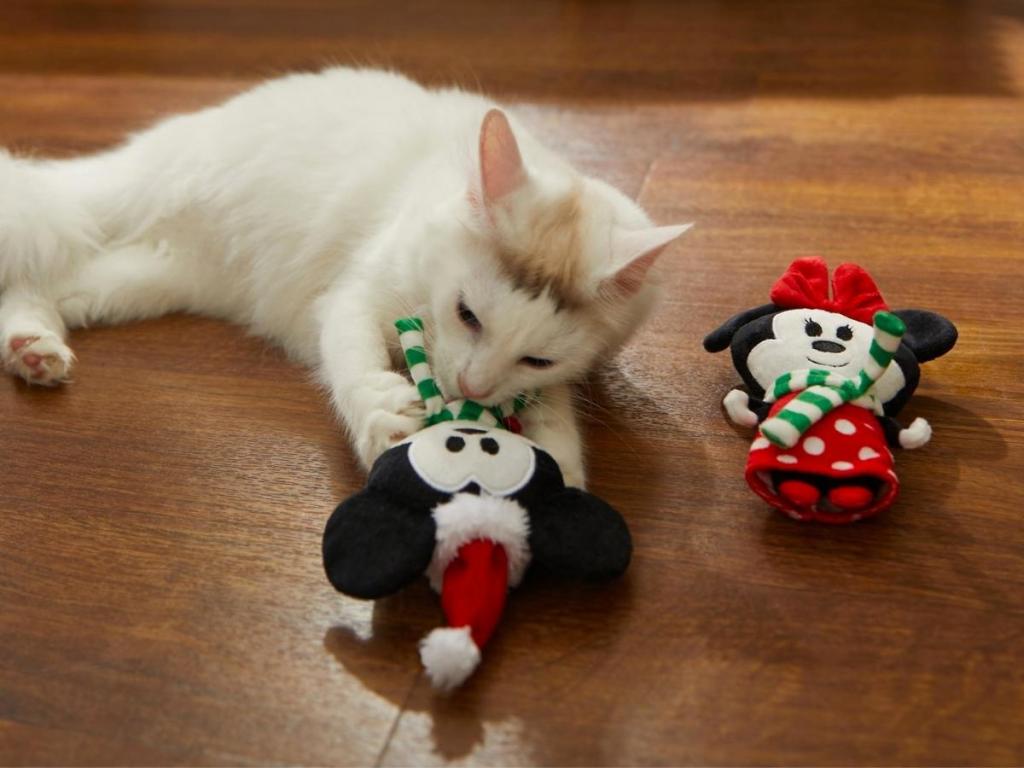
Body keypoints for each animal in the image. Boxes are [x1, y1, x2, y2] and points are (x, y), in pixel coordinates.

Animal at [2, 67, 688, 487]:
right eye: (466, 314)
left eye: (537, 359)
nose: (471, 385)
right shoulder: (353, 296)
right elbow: (356, 365)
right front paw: (385, 421)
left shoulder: (549, 381)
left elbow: (554, 414)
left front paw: (561, 475)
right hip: (117, 200)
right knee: (40, 249)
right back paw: (32, 351)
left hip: (144, 279)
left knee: (51, 284)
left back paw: (33, 351)